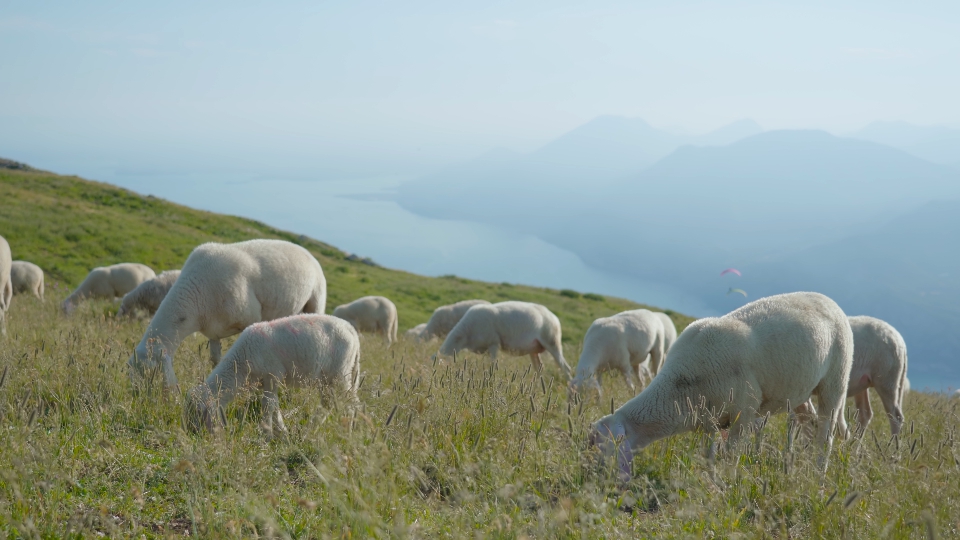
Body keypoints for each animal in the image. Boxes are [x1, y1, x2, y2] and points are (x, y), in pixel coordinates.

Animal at [126, 240, 326, 392]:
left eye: (150, 374)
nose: (141, 401)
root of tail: (305, 250)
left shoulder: (250, 319)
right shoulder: (213, 330)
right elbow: (215, 360)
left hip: (316, 300)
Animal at [185, 314, 360, 436]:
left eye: (197, 412)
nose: (193, 434)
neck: (240, 364)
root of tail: (351, 329)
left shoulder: (272, 375)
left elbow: (267, 405)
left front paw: (266, 434)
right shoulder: (267, 381)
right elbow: (274, 405)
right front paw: (281, 432)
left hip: (341, 372)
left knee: (351, 402)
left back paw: (349, 432)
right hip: (327, 378)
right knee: (327, 402)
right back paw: (310, 430)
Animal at [438, 300, 572, 380]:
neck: (465, 334)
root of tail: (554, 316)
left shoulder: (493, 344)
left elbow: (492, 365)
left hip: (552, 341)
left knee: (566, 368)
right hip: (534, 349)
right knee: (539, 369)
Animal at [588, 292, 852, 476]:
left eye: (606, 446)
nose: (598, 476)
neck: (679, 387)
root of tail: (829, 300)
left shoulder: (744, 411)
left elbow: (731, 455)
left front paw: (729, 484)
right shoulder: (708, 419)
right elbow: (709, 456)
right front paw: (712, 483)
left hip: (836, 381)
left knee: (825, 436)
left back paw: (819, 474)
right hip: (800, 391)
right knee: (810, 424)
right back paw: (800, 469)